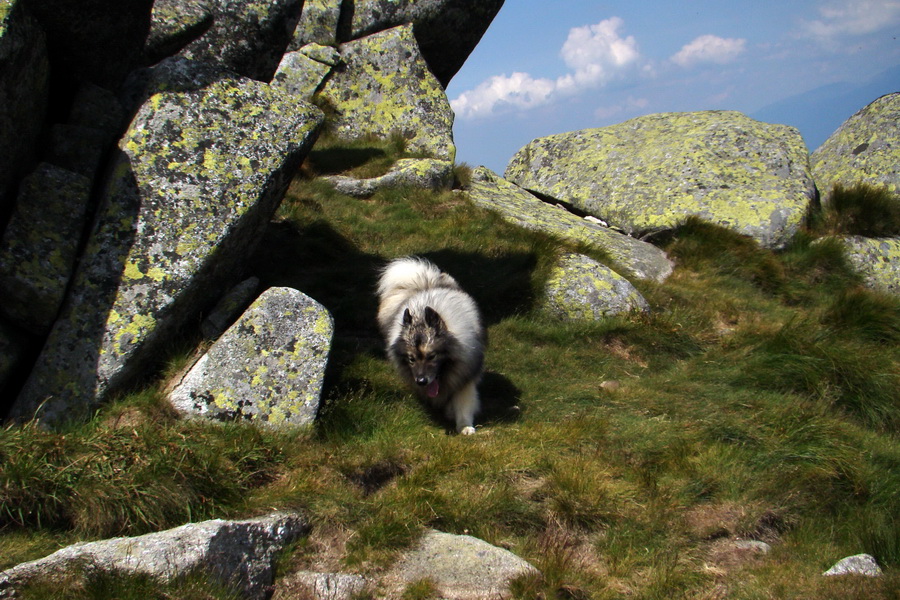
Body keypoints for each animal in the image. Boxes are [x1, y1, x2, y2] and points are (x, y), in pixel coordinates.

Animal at [374, 255, 486, 434]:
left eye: (432, 356)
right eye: (411, 359)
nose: (421, 381)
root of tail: (425, 284)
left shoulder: (465, 375)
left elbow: (463, 403)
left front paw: (465, 426)